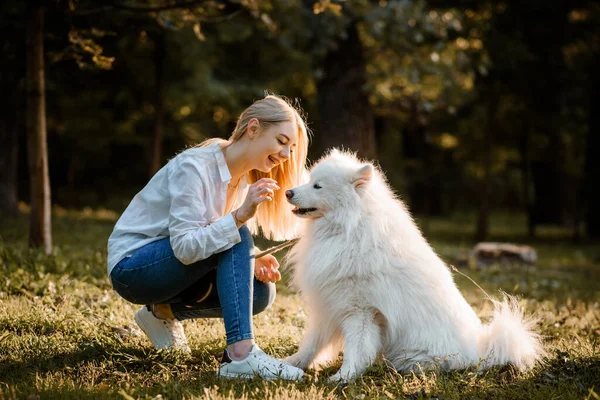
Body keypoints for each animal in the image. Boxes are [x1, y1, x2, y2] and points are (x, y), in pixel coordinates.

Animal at [284, 149, 544, 382]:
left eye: (318, 186)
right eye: (310, 181)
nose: (288, 191)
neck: (347, 228)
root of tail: (480, 352)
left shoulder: (361, 311)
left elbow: (357, 350)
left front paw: (343, 377)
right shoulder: (328, 306)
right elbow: (311, 343)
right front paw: (291, 364)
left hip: (411, 355)